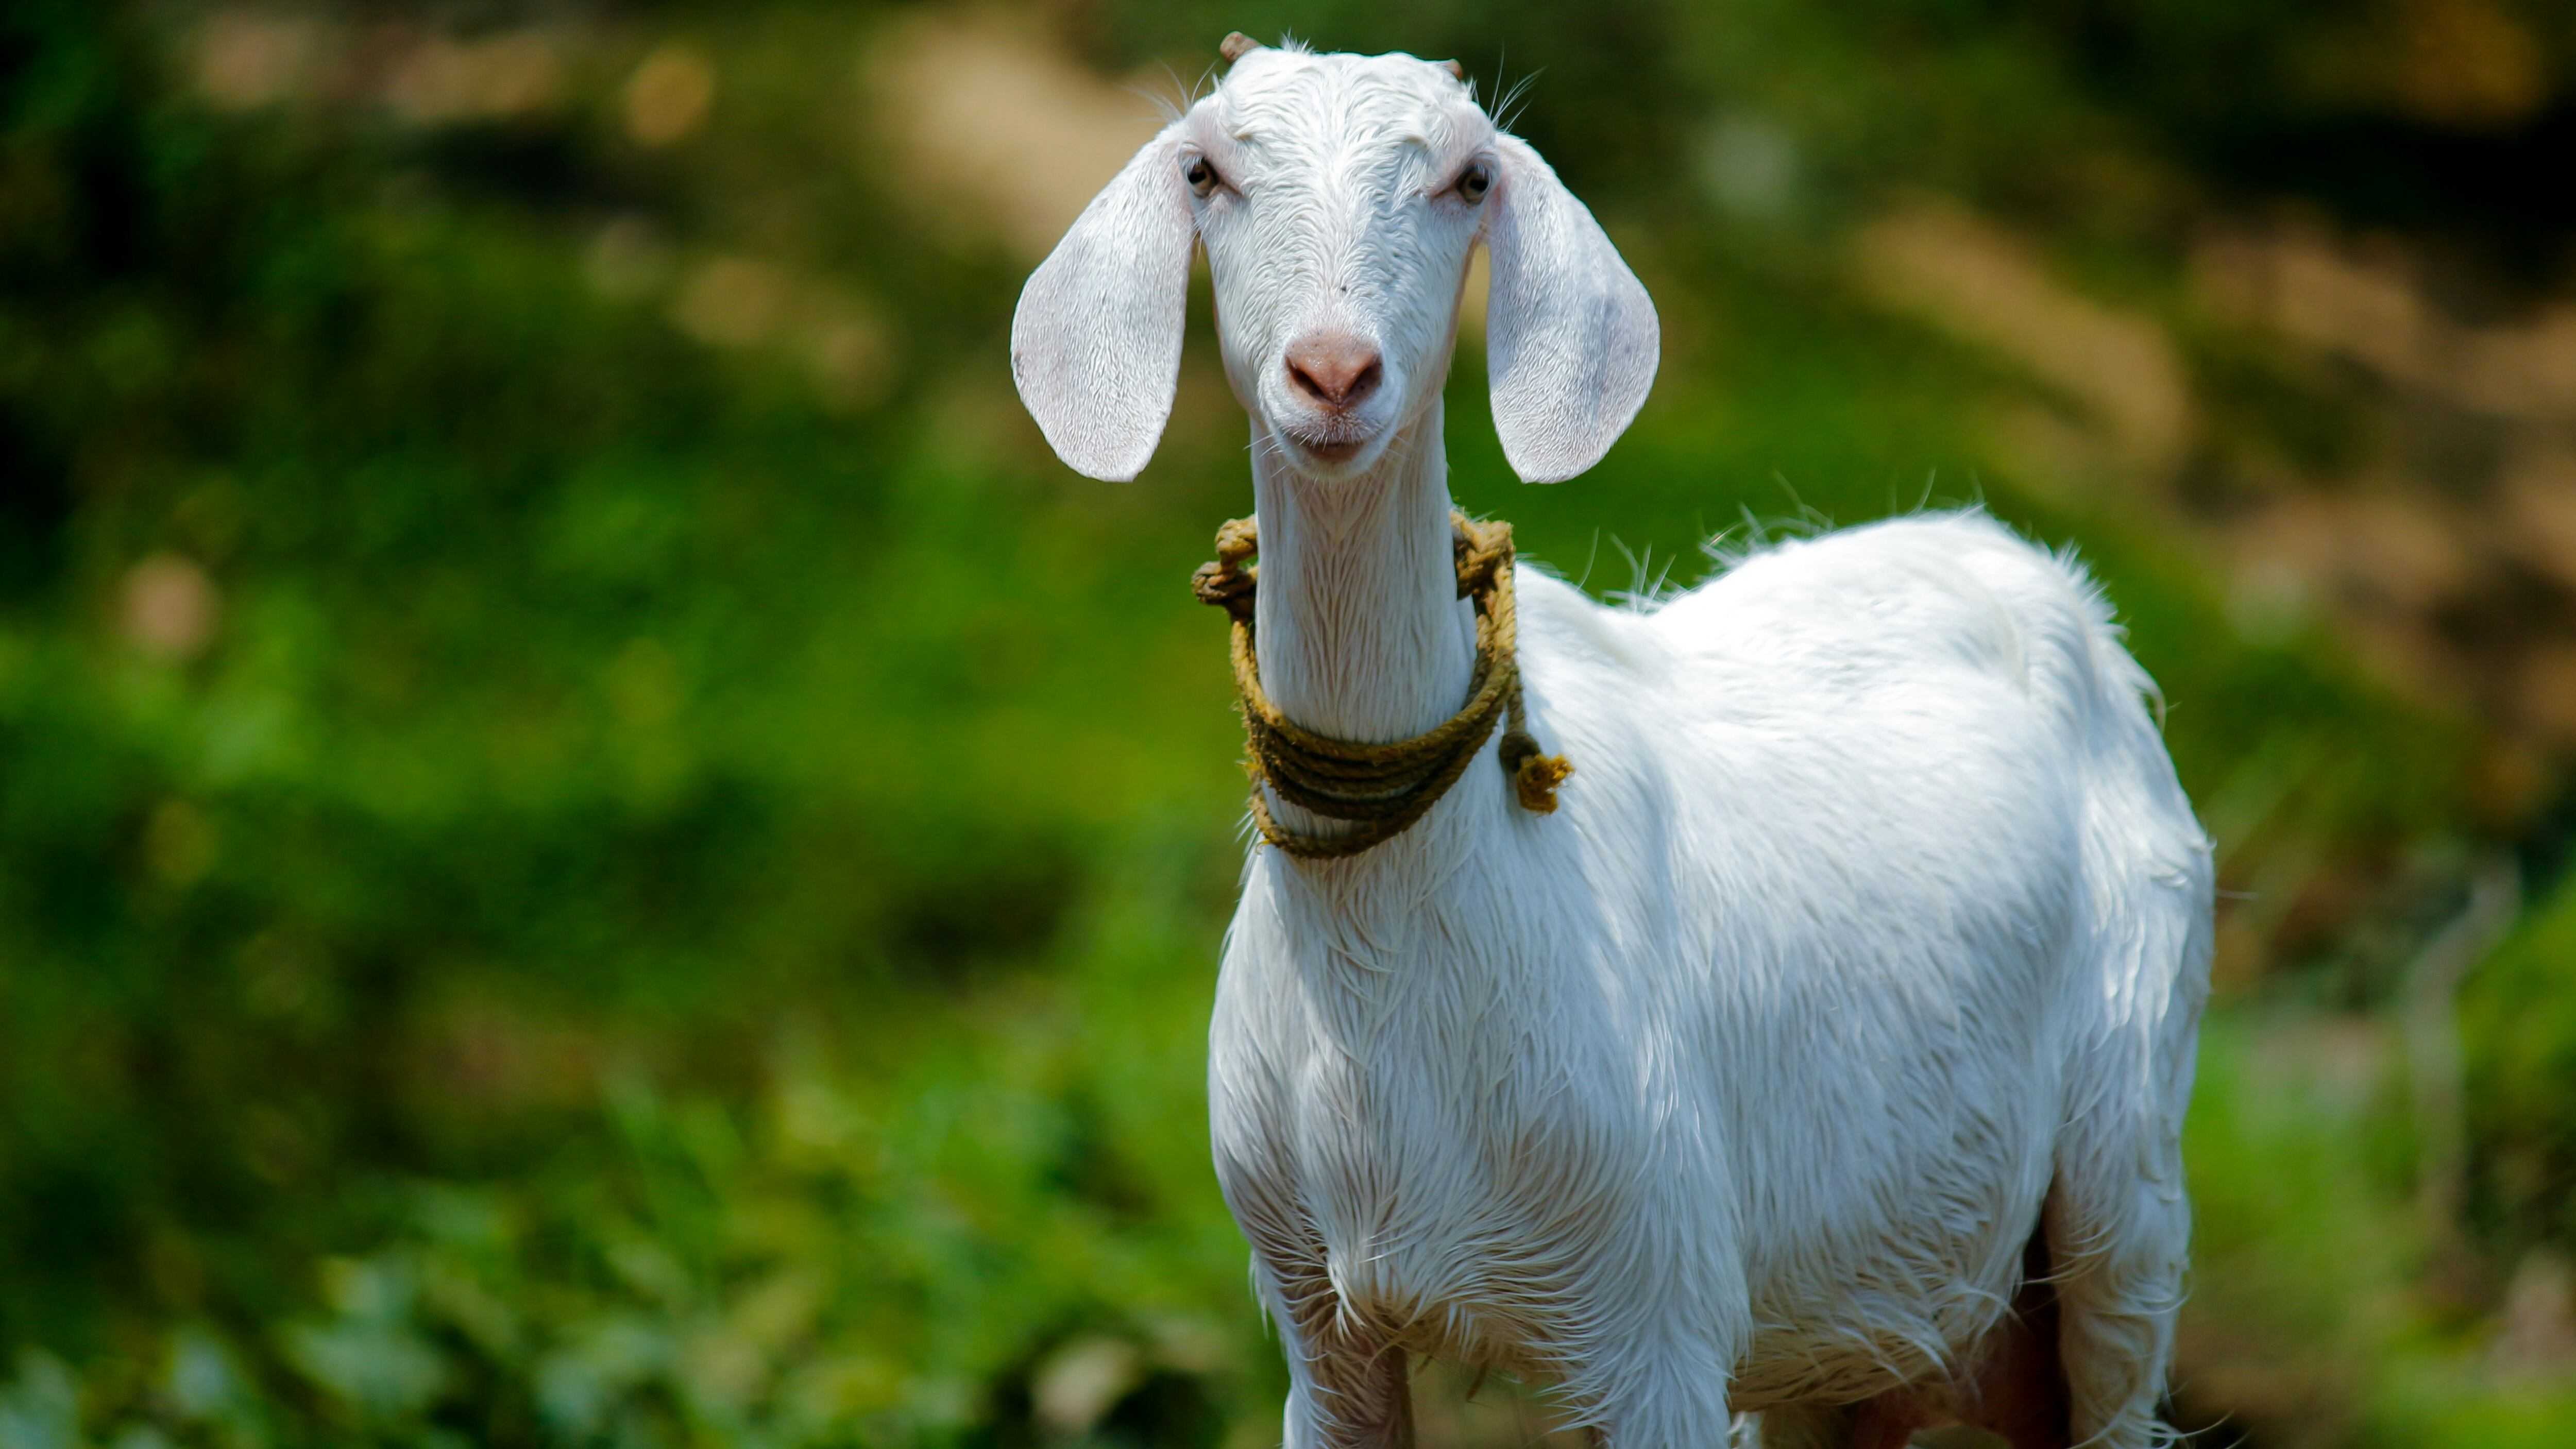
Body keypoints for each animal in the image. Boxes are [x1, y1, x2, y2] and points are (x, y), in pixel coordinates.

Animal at [1011, 36, 2213, 1449]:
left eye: (1469, 177)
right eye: (1205, 168)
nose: (1333, 375)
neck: (1400, 940)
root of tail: (2036, 571)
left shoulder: (1655, 1310)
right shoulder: (1317, 1310)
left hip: (2127, 1171)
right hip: (1861, 1324)